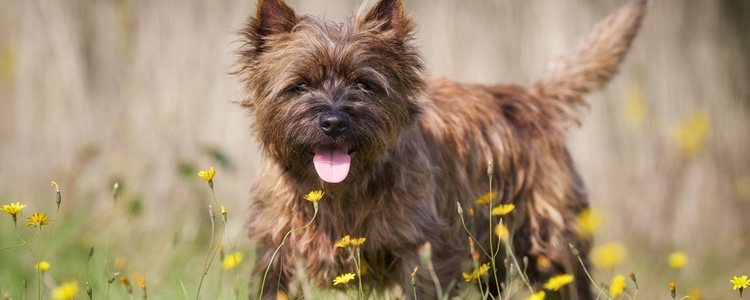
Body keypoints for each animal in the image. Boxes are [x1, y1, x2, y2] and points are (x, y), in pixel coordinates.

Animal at [238, 0, 648, 298]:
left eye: (364, 84)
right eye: (300, 85)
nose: (334, 121)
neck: (339, 193)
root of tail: (534, 98)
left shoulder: (420, 252)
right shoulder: (277, 253)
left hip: (549, 247)